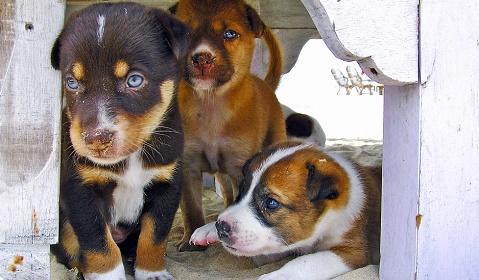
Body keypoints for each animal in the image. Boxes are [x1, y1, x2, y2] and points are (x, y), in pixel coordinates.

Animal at [50, 2, 188, 280]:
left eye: (134, 79)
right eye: (72, 83)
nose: (96, 138)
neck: (131, 158)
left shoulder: (168, 184)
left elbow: (154, 236)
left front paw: (152, 272)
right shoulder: (79, 191)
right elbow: (99, 245)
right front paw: (107, 275)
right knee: (71, 252)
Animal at [191, 142, 382, 280]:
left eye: (271, 203)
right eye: (242, 191)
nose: (221, 226)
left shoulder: (352, 252)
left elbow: (306, 261)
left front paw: (278, 276)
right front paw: (209, 229)